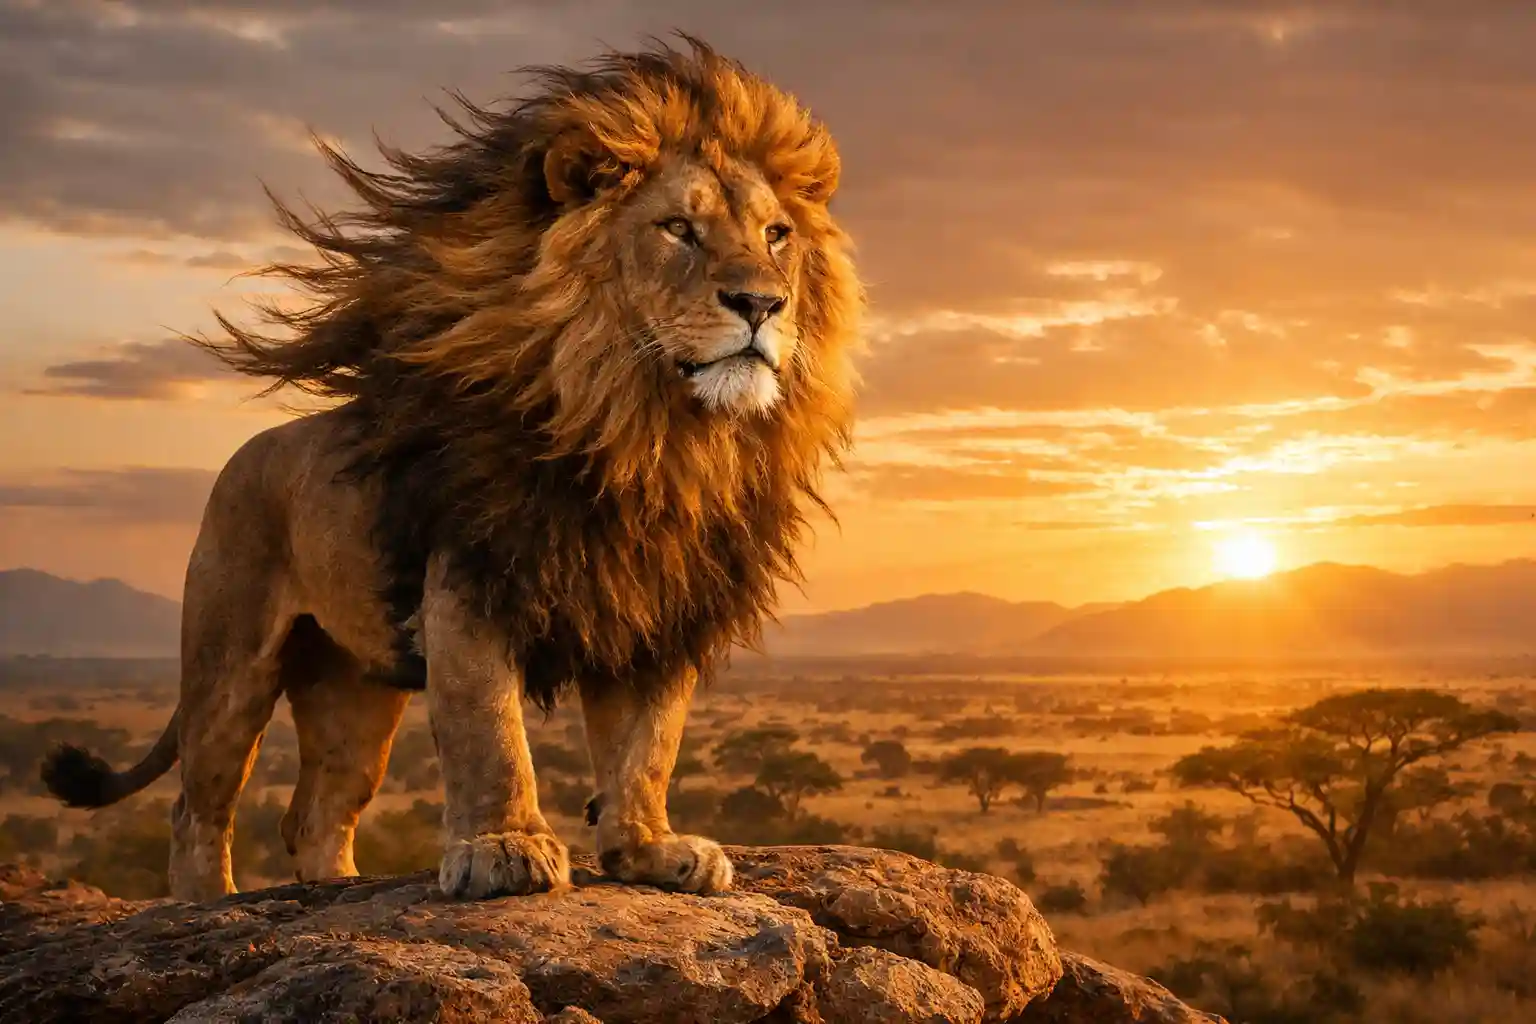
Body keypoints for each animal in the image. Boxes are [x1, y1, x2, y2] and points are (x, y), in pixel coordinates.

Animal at [40, 36, 862, 904]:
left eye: (776, 234)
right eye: (678, 229)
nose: (762, 304)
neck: (652, 434)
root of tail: (243, 455)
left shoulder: (661, 607)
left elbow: (649, 745)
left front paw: (649, 850)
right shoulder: (471, 576)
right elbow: (486, 725)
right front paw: (504, 849)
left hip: (354, 682)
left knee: (317, 812)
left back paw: (335, 886)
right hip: (231, 661)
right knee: (198, 806)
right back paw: (210, 903)